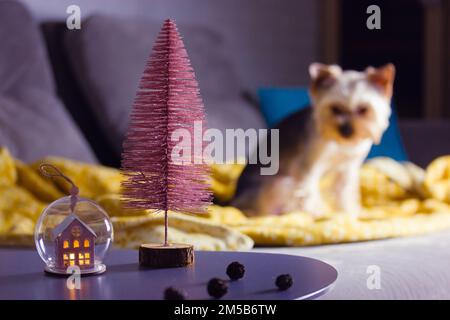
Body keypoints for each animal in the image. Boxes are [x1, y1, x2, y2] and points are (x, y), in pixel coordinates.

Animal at [234, 62, 396, 216]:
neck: (340, 144)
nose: (346, 131)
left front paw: (348, 212)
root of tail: (234, 201)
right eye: (335, 108)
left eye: (363, 110)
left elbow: (344, 191)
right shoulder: (308, 164)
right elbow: (309, 189)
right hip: (281, 183)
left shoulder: (348, 167)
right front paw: (318, 212)